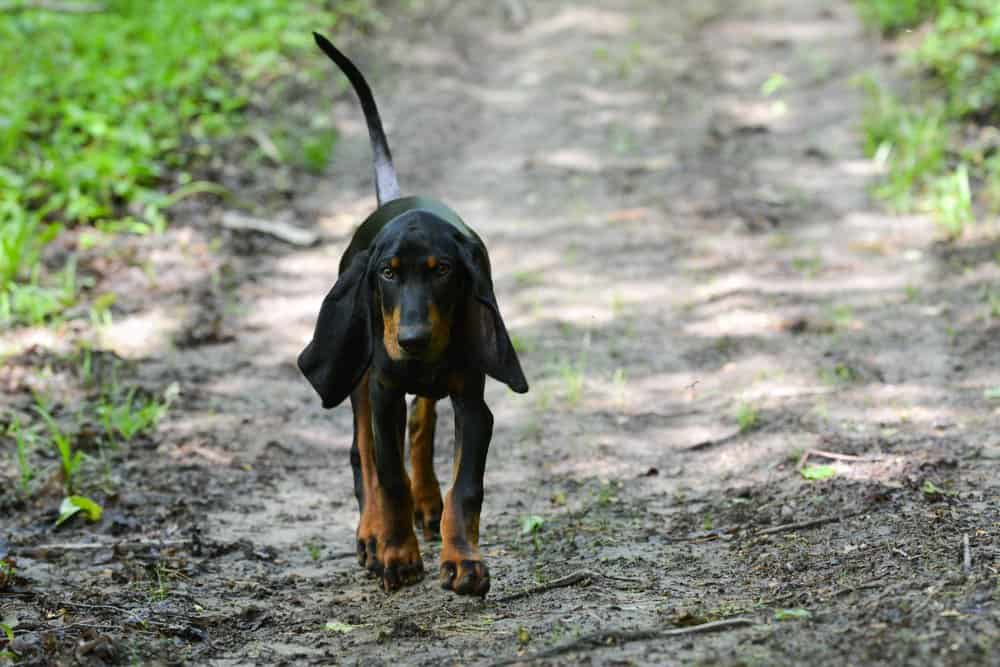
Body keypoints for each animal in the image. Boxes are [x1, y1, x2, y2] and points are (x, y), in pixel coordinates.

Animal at [298, 34, 528, 596]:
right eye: (387, 272)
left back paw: (428, 505)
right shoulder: (382, 392)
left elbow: (466, 486)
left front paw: (463, 559)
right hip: (360, 376)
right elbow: (387, 475)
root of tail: (394, 197)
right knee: (363, 454)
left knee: (422, 428)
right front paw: (396, 555)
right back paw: (371, 535)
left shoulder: (473, 403)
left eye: (442, 269)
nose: (413, 339)